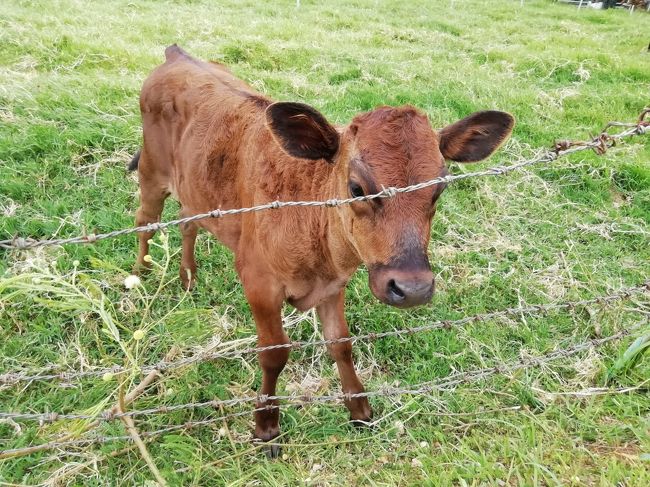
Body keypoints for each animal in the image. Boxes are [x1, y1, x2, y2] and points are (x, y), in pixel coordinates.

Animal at [130, 43, 512, 452]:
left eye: (439, 188)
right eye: (357, 188)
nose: (412, 288)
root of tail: (177, 55)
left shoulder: (334, 284)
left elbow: (341, 343)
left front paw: (359, 409)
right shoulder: (258, 281)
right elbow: (275, 353)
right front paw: (266, 425)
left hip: (195, 189)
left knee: (187, 221)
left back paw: (187, 278)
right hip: (152, 172)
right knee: (145, 221)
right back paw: (140, 274)